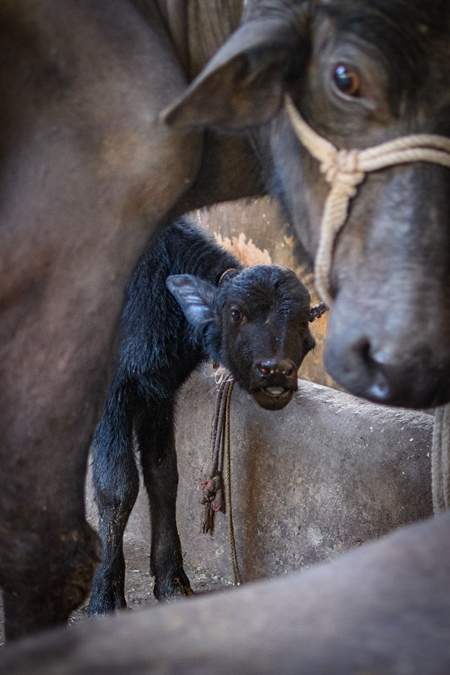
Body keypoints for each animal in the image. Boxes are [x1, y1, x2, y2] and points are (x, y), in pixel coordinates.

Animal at [87, 219, 312, 616]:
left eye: (302, 320)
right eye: (236, 313)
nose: (276, 371)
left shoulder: (158, 392)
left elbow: (164, 476)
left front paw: (172, 580)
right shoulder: (110, 396)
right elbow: (117, 487)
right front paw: (105, 597)